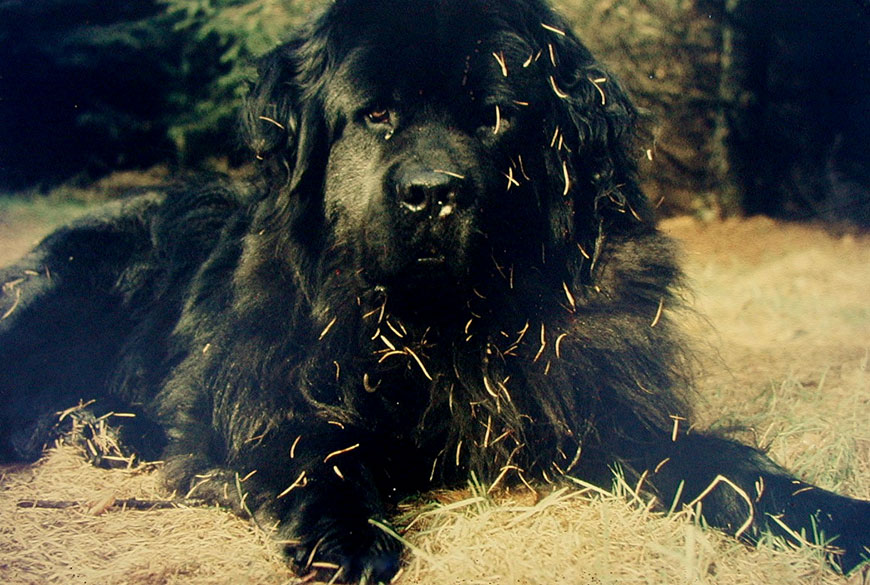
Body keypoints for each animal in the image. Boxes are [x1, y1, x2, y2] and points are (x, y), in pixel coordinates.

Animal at [1, 0, 870, 580]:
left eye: (493, 116)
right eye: (375, 115)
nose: (431, 193)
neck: (444, 323)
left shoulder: (610, 411)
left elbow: (731, 467)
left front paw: (834, 514)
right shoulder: (269, 388)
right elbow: (313, 446)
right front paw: (346, 535)